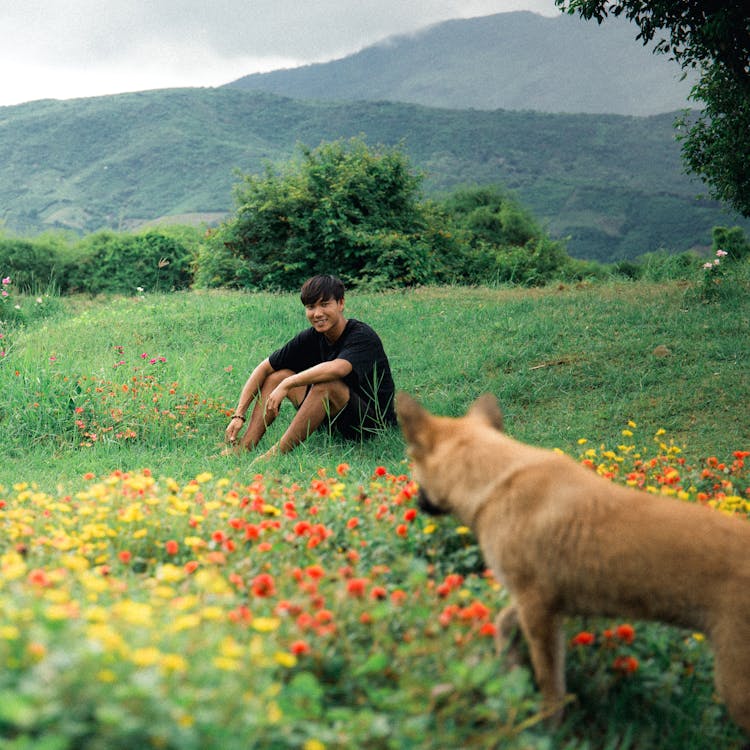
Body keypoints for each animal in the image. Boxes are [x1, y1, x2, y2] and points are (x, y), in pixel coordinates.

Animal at [396, 394, 748, 736]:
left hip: (735, 686)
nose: (417, 502)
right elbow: (503, 622)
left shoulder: (537, 608)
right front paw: (508, 666)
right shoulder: (542, 600)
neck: (496, 481)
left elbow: (550, 683)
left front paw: (546, 729)